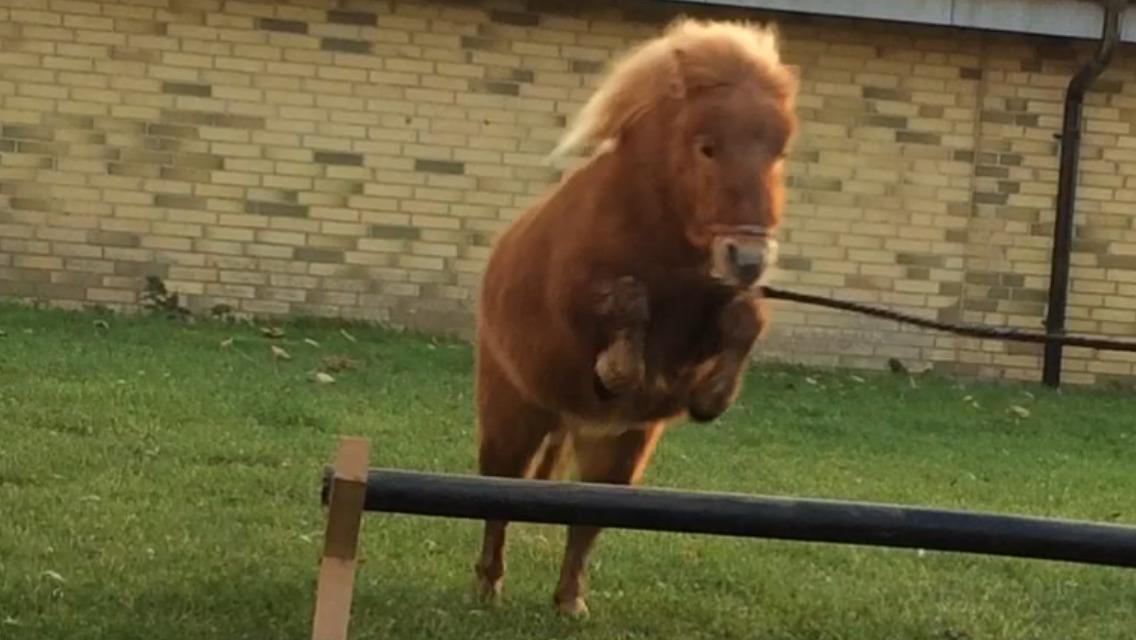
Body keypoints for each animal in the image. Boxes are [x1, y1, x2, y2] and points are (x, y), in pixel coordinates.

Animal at [470, 17, 799, 618]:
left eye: (779, 151)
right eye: (706, 146)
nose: (747, 258)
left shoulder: (704, 316)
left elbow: (743, 320)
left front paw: (712, 396)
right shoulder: (574, 301)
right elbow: (622, 306)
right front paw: (619, 369)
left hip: (619, 450)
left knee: (587, 521)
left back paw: (570, 601)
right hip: (514, 414)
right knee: (498, 497)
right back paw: (488, 584)